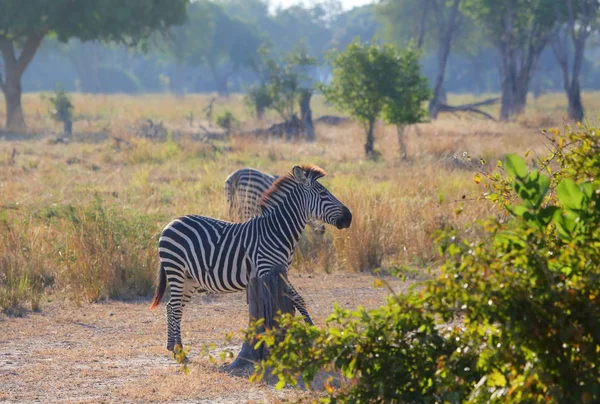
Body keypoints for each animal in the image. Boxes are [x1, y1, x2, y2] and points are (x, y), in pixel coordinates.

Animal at [148, 164, 352, 350]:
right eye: (324, 194)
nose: (349, 218)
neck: (277, 231)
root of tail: (171, 222)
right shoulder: (266, 269)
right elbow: (295, 299)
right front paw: (310, 332)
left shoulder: (280, 271)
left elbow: (295, 300)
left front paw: (309, 330)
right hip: (176, 270)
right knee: (174, 307)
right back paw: (179, 351)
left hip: (189, 278)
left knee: (172, 307)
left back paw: (173, 346)